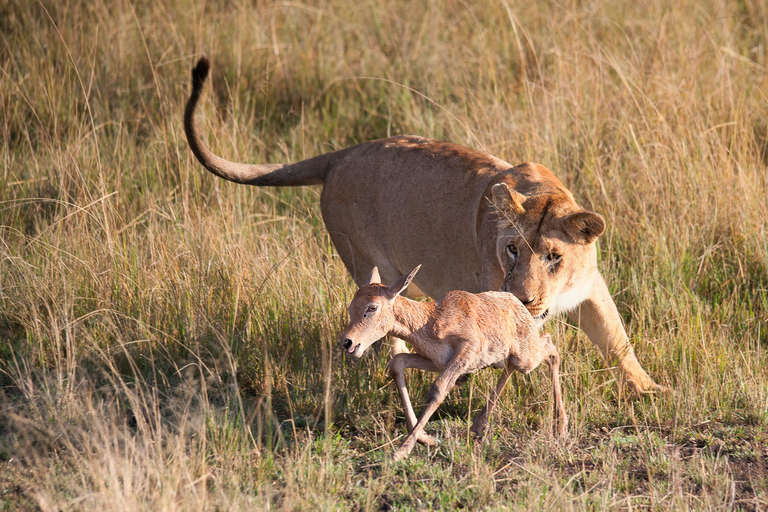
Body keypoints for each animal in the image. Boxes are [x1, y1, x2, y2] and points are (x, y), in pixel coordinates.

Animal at [340, 264, 568, 460]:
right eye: (352, 305)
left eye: (372, 307)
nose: (347, 341)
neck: (430, 320)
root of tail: (517, 304)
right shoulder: (436, 361)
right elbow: (397, 363)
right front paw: (428, 439)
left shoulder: (466, 350)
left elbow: (439, 388)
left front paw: (401, 452)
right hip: (511, 357)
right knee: (514, 365)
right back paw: (478, 425)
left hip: (526, 358)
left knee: (550, 348)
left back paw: (560, 426)